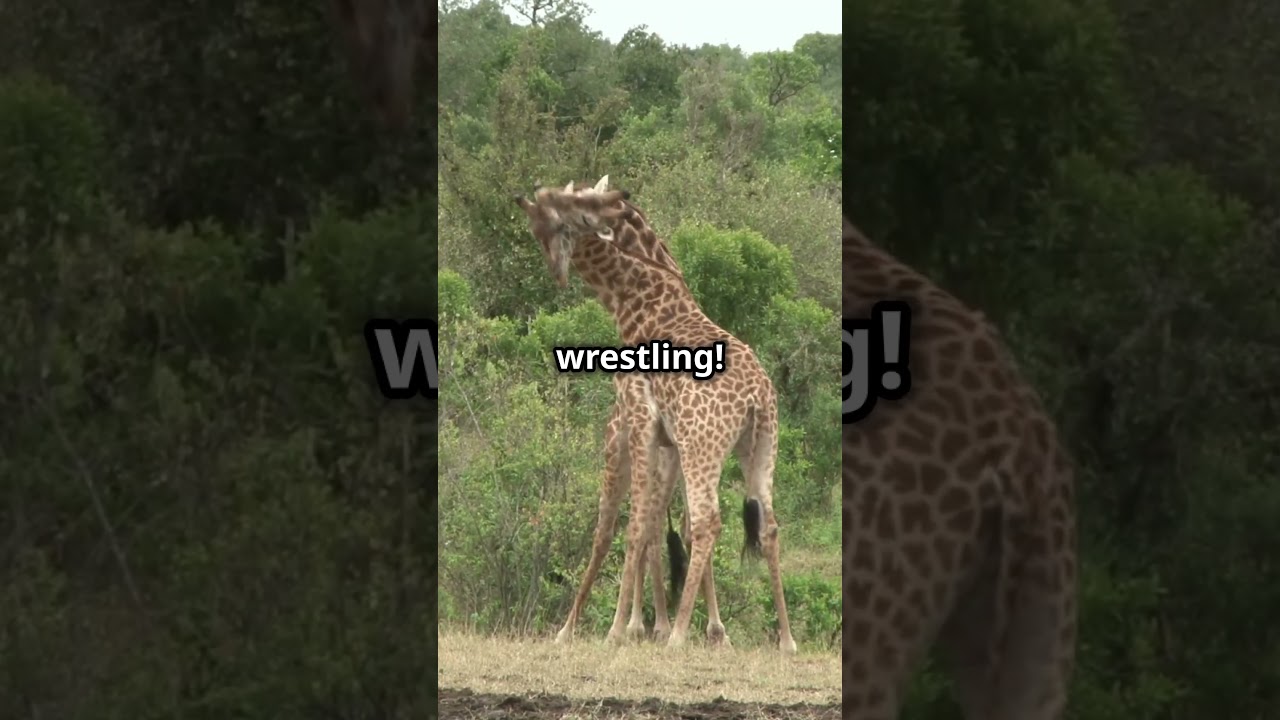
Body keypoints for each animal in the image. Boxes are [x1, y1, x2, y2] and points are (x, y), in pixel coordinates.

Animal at [515, 179, 797, 652]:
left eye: (565, 214)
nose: (556, 271)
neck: (633, 303)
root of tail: (757, 396)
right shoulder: (665, 440)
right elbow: (649, 527)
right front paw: (642, 626)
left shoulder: (639, 419)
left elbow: (632, 528)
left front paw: (612, 630)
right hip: (760, 447)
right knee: (769, 525)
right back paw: (785, 639)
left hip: (702, 446)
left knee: (704, 521)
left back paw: (679, 635)